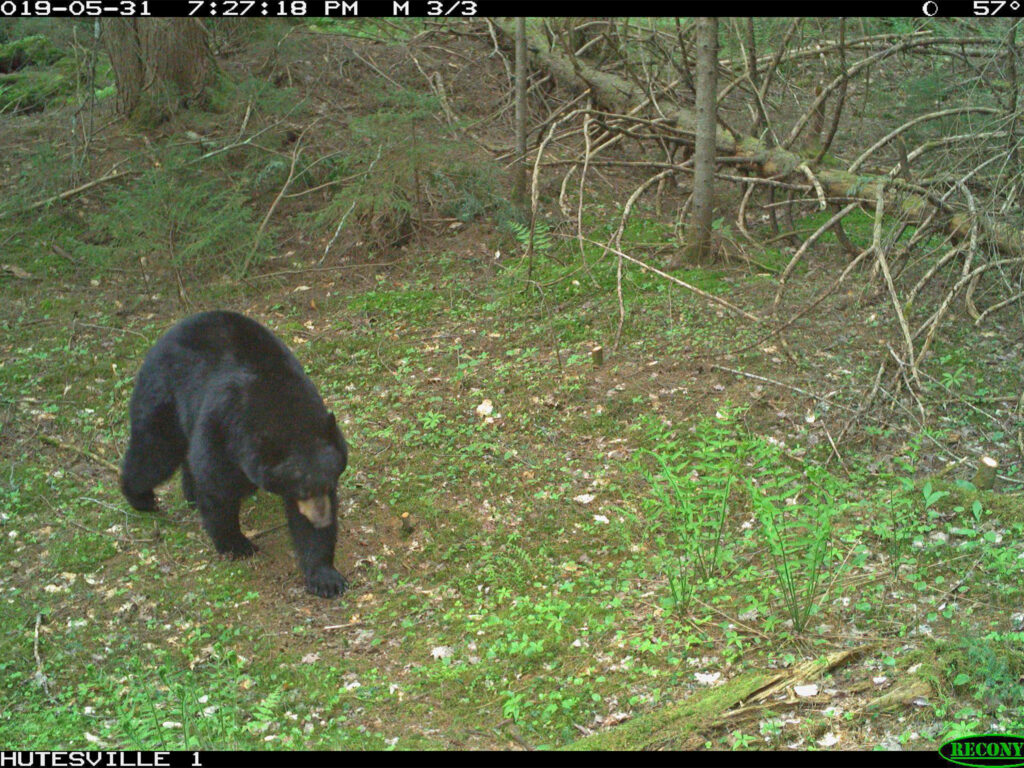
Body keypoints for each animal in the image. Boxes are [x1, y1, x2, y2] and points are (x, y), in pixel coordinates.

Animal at [120, 310, 349, 598]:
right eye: (302, 489)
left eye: (329, 483)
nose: (321, 520)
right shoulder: (222, 428)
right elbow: (217, 487)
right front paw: (237, 544)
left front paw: (325, 576)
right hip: (164, 394)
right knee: (155, 450)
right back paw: (140, 497)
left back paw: (189, 494)